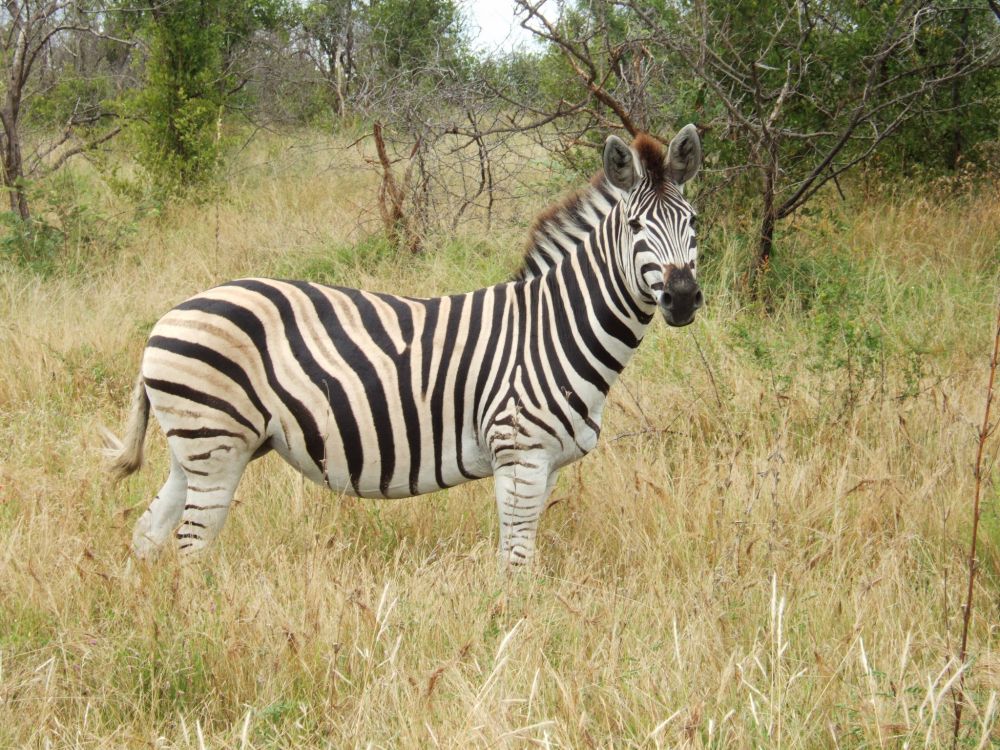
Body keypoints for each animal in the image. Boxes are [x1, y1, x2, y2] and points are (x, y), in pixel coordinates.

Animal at [103, 125, 703, 566]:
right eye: (635, 226)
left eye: (694, 222)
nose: (681, 297)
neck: (553, 330)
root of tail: (167, 318)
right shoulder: (519, 455)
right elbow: (515, 563)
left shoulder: (546, 462)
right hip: (216, 446)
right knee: (191, 544)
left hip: (196, 449)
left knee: (150, 533)